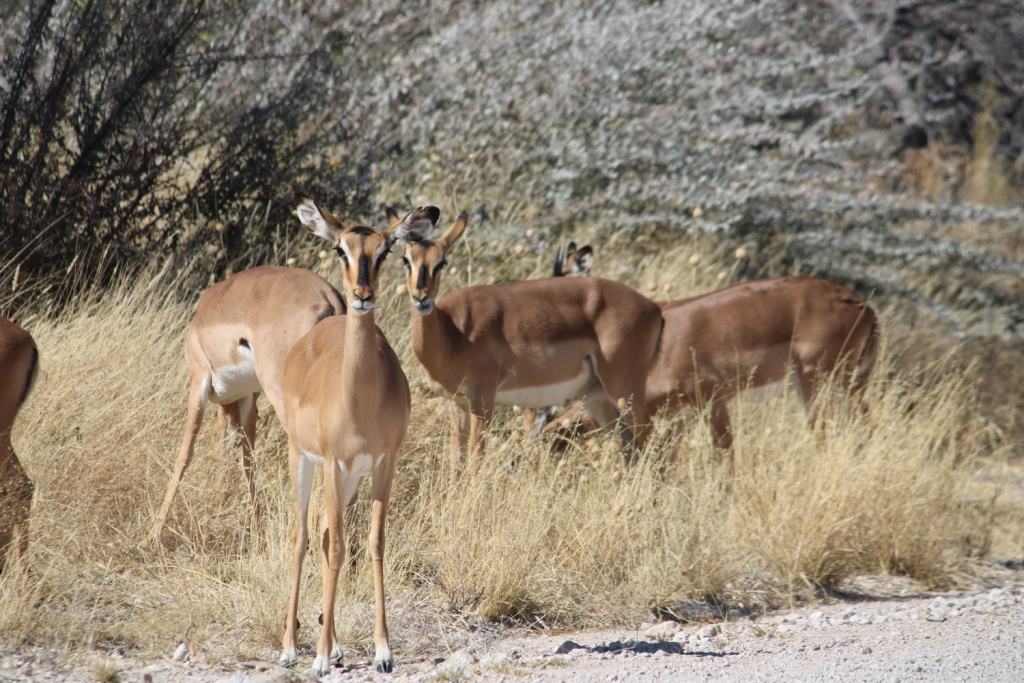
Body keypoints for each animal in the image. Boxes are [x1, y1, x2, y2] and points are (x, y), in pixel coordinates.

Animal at [149, 266, 345, 544]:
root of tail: (328, 296)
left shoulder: (199, 382)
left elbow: (185, 453)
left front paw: (152, 533)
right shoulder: (247, 398)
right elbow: (243, 459)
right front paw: (254, 528)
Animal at [278, 195, 433, 676]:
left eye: (384, 251)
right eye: (340, 249)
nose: (362, 297)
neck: (360, 401)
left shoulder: (383, 464)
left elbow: (373, 543)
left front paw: (383, 652)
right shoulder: (331, 462)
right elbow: (337, 547)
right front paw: (318, 658)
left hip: (347, 481)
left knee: (327, 536)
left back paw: (336, 645)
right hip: (304, 462)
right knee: (304, 538)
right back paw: (292, 648)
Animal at [393, 209, 663, 475]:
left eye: (442, 262)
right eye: (406, 259)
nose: (421, 298)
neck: (452, 331)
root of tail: (653, 308)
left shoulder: (483, 400)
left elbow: (474, 463)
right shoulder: (457, 403)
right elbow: (456, 464)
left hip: (623, 390)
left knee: (650, 439)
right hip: (600, 399)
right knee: (630, 450)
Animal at [545, 276, 880, 471]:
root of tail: (862, 306)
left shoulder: (713, 403)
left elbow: (724, 459)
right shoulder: (685, 416)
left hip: (817, 384)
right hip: (854, 386)